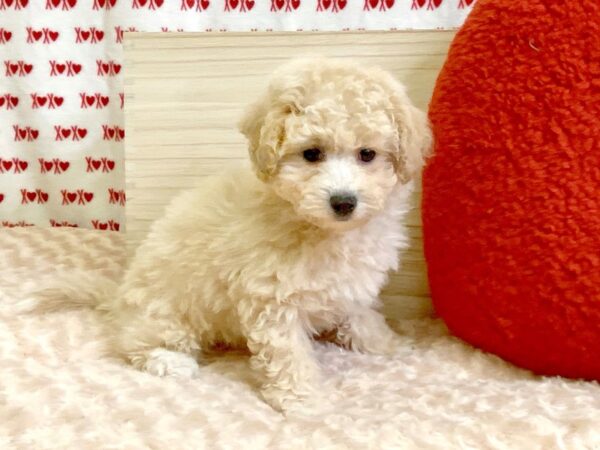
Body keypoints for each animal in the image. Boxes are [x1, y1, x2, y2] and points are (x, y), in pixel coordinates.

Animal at [57, 57, 432, 412]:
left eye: (367, 154)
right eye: (311, 153)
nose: (343, 201)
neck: (321, 229)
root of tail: (118, 296)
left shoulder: (350, 286)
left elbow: (361, 316)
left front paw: (389, 343)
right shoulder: (272, 297)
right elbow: (289, 354)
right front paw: (303, 401)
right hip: (167, 312)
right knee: (135, 341)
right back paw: (170, 361)